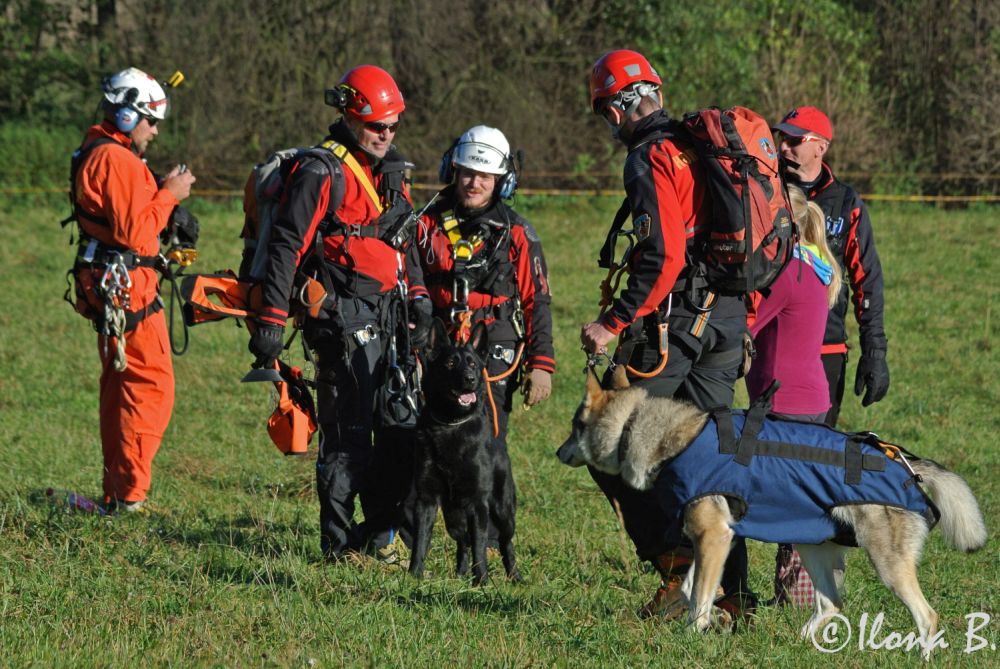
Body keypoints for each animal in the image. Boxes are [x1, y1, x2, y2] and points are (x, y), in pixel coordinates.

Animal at [408, 318, 524, 584]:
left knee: (505, 542)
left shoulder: (477, 503)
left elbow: (480, 546)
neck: (450, 424)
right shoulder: (426, 500)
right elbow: (420, 542)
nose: (470, 378)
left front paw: (481, 581)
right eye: (450, 363)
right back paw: (461, 573)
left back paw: (513, 575)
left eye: (473, 364)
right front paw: (414, 575)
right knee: (463, 542)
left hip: (503, 512)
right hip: (453, 517)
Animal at [560, 368, 988, 656]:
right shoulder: (712, 537)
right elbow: (692, 587)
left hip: (887, 565)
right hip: (814, 549)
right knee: (832, 604)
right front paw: (704, 623)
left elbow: (699, 598)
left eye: (575, 425)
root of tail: (907, 465)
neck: (664, 437)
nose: (557, 452)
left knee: (927, 617)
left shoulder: (714, 535)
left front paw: (692, 638)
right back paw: (797, 646)